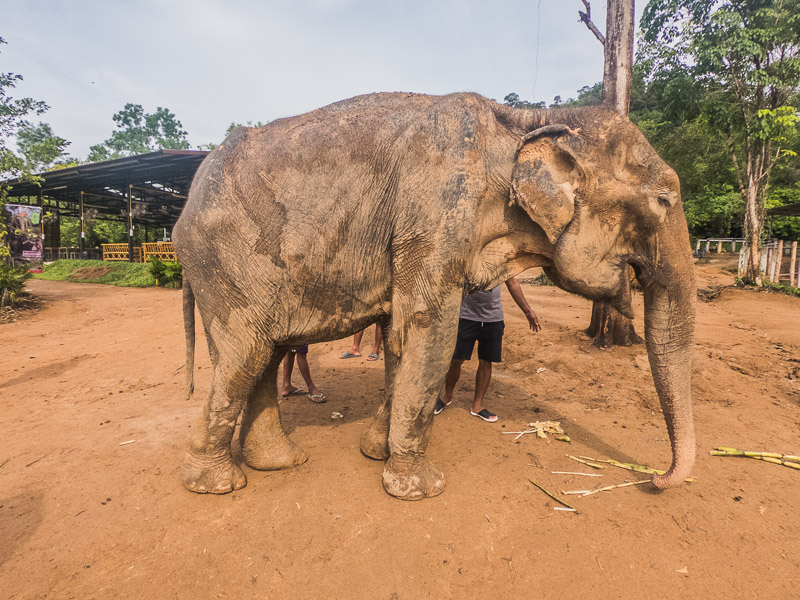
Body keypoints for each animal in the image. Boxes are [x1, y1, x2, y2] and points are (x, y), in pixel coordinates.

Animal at [173, 91, 692, 500]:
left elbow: (400, 336)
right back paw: (216, 485)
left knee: (264, 352)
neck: (527, 119)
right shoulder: (436, 213)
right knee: (247, 353)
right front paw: (420, 489)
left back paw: (279, 463)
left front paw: (376, 453)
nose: (655, 479)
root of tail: (182, 211)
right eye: (664, 200)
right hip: (226, 263)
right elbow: (431, 331)